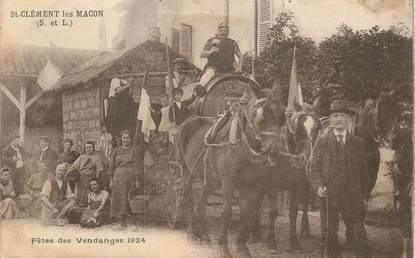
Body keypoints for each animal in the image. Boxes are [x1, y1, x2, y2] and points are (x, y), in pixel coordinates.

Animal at [180, 83, 284, 256]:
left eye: (282, 118)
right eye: (261, 119)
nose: (275, 150)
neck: (242, 145)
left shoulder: (251, 186)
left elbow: (246, 214)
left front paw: (242, 248)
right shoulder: (228, 184)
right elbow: (226, 212)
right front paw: (223, 247)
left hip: (210, 180)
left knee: (201, 204)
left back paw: (205, 236)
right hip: (187, 173)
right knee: (189, 199)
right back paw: (192, 234)